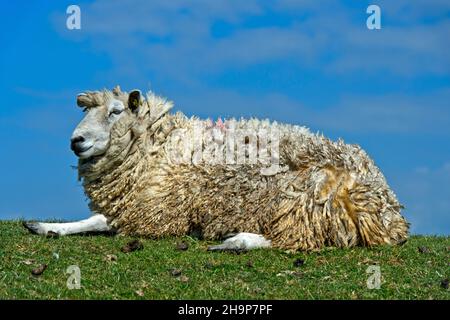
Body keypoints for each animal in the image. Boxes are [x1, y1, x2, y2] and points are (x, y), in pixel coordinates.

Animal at [22, 86, 410, 251]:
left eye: (116, 111)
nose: (76, 141)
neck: (158, 144)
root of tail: (389, 211)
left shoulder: (157, 215)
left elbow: (104, 222)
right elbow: (97, 219)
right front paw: (46, 227)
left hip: (300, 198)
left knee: (298, 240)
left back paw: (237, 241)